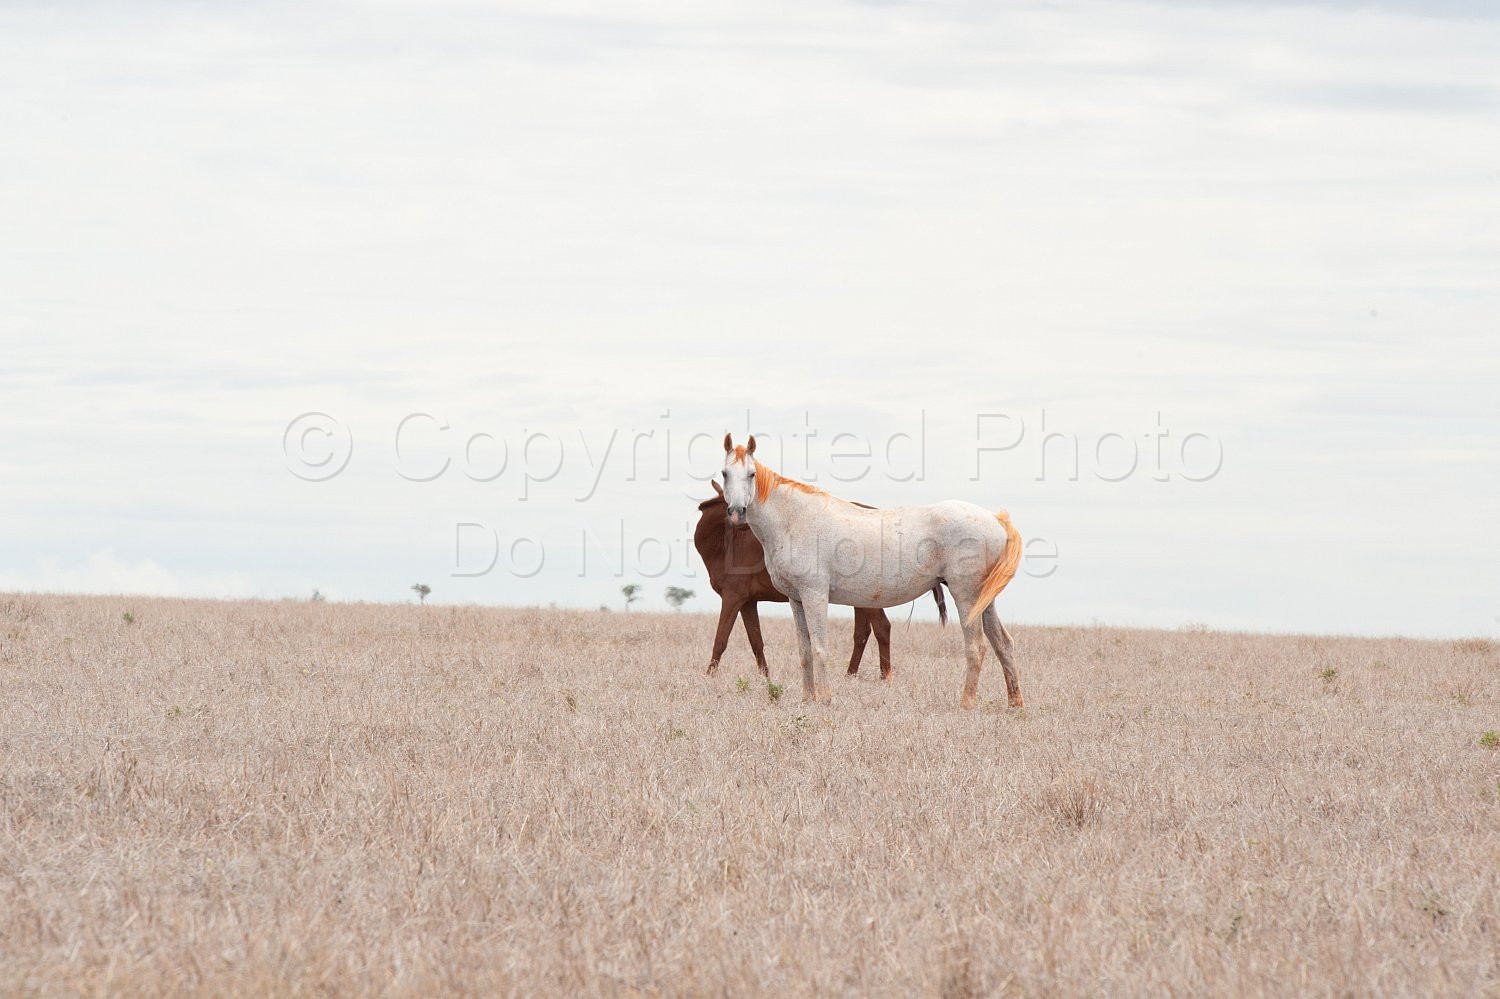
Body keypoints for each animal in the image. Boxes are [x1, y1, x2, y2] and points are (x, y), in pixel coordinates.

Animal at [695, 480, 947, 679]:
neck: (726, 542)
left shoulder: (732, 597)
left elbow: (721, 639)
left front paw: (709, 675)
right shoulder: (747, 602)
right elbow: (756, 641)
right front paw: (765, 677)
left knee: (882, 628)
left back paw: (884, 676)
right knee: (862, 634)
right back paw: (850, 675)